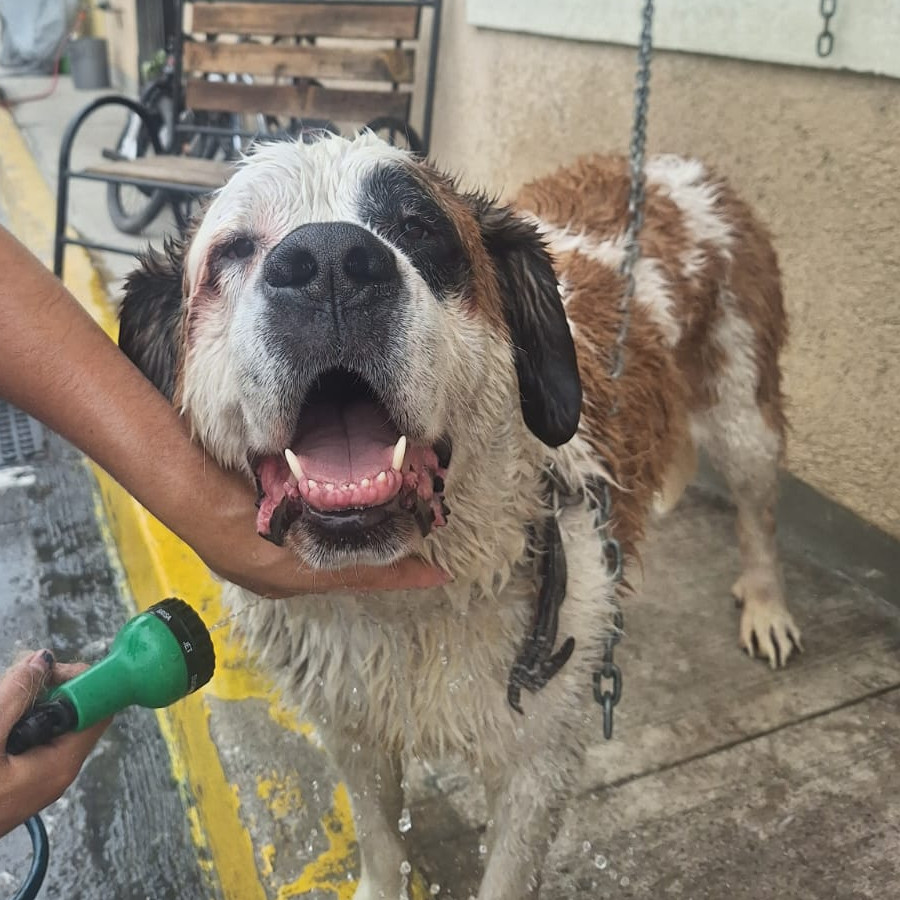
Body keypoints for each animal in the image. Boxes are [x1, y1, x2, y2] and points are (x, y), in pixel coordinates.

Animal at [118, 135, 800, 900]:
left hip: (741, 411)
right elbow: (380, 836)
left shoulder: (537, 763)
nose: (329, 261)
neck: (410, 605)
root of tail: (675, 164)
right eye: (234, 249)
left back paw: (767, 607)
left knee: (758, 509)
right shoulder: (353, 726)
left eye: (418, 228)